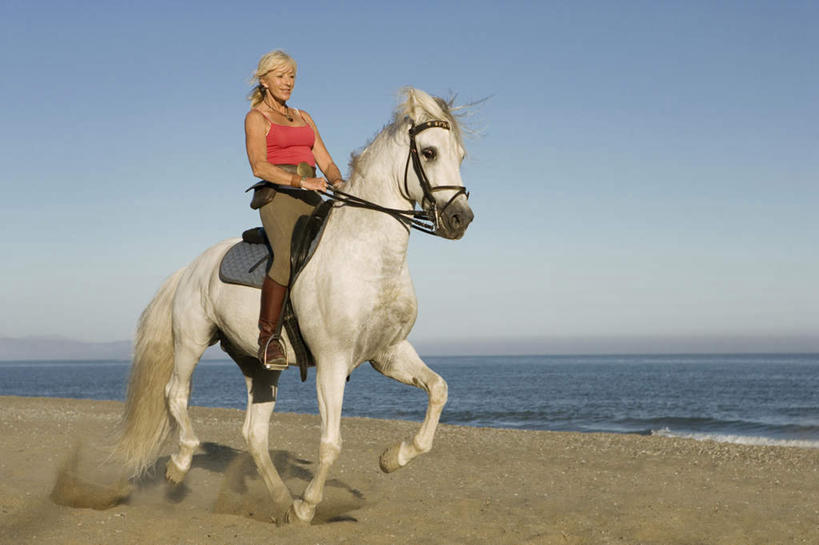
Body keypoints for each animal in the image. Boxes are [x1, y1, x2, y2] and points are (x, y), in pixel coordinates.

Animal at [113, 87, 474, 524]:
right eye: (428, 152)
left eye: (460, 154)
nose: (460, 219)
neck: (368, 256)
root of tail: (191, 267)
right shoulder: (333, 362)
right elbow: (331, 442)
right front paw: (307, 507)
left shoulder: (389, 352)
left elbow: (438, 391)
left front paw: (393, 458)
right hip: (191, 340)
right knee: (175, 395)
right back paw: (181, 465)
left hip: (258, 365)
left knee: (254, 433)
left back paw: (281, 499)